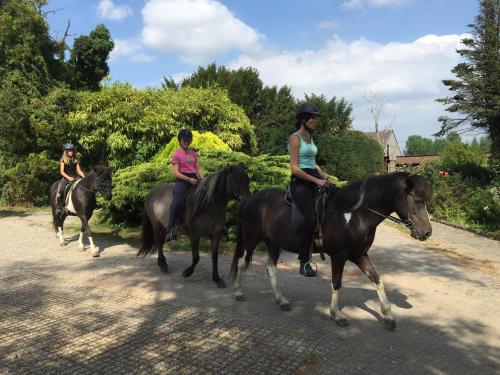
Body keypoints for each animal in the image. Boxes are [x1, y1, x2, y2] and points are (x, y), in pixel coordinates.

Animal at [229, 172, 432, 330]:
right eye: (416, 200)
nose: (427, 232)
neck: (353, 215)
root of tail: (249, 200)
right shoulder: (339, 256)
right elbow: (337, 284)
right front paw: (337, 315)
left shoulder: (360, 255)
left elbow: (378, 281)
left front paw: (388, 316)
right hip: (251, 239)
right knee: (241, 262)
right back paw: (238, 293)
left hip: (273, 243)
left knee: (271, 269)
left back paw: (281, 300)